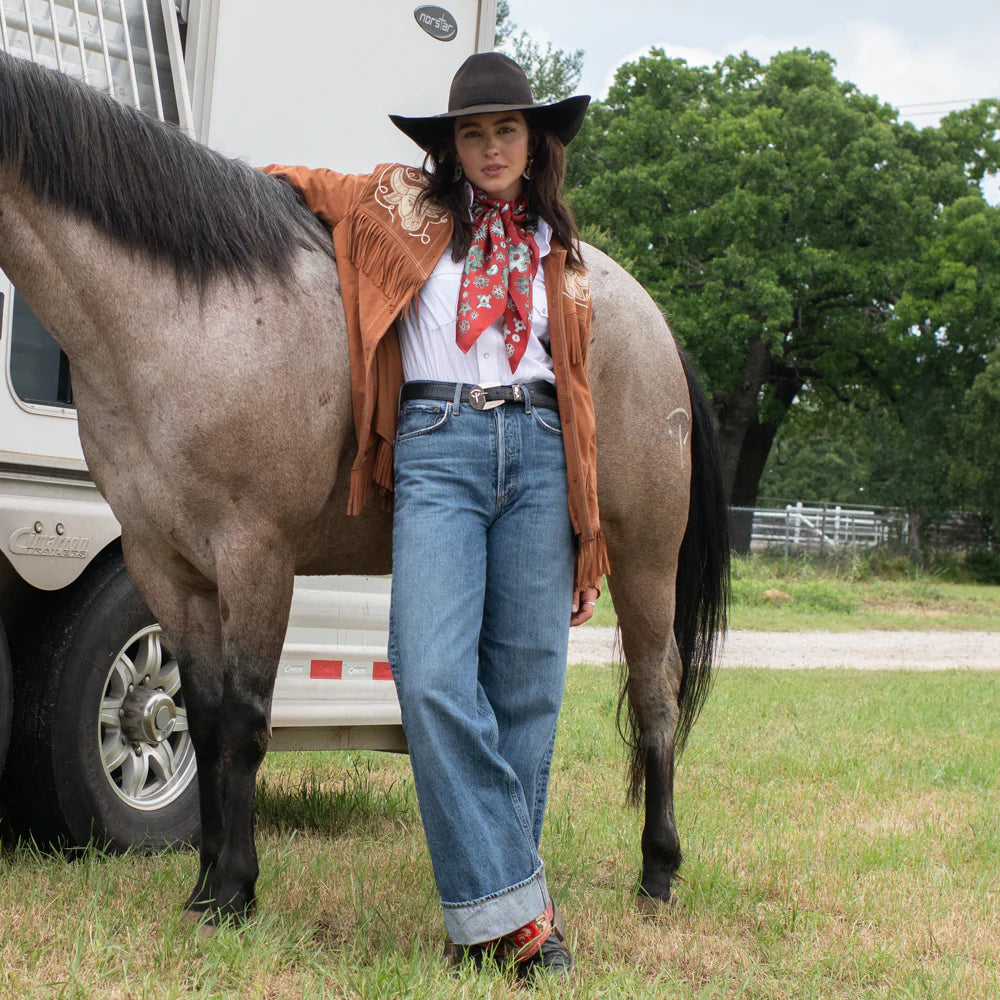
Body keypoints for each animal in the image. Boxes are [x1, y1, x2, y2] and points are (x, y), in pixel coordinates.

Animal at [0, 54, 728, 924]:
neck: (187, 318)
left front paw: (237, 890)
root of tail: (659, 331)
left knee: (656, 695)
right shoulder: (165, 566)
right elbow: (197, 721)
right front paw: (204, 888)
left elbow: (245, 722)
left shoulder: (256, 556)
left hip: (646, 556)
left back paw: (657, 872)